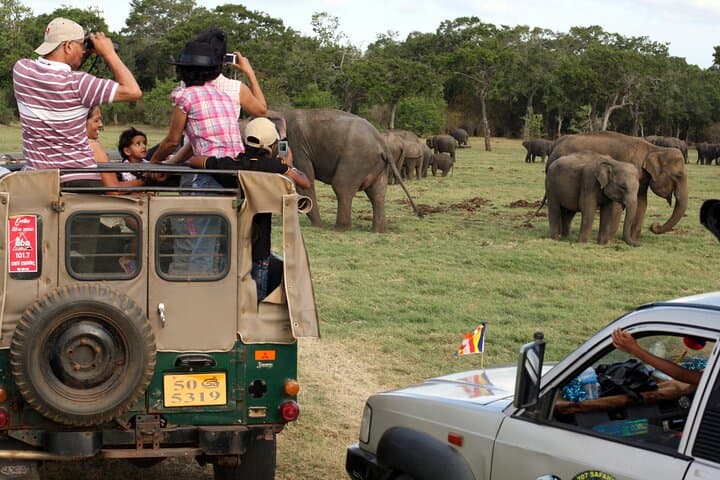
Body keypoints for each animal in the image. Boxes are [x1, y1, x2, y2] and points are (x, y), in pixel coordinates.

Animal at [280, 109, 421, 232]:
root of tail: (382, 142)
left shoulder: (297, 147)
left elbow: (304, 181)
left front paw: (318, 226)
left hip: (356, 158)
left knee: (341, 186)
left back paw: (339, 229)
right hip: (377, 165)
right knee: (378, 193)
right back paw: (378, 231)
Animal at [548, 131, 688, 242]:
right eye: (678, 176)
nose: (654, 226)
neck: (654, 149)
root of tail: (555, 143)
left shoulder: (642, 178)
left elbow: (642, 202)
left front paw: (633, 240)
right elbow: (617, 206)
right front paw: (610, 240)